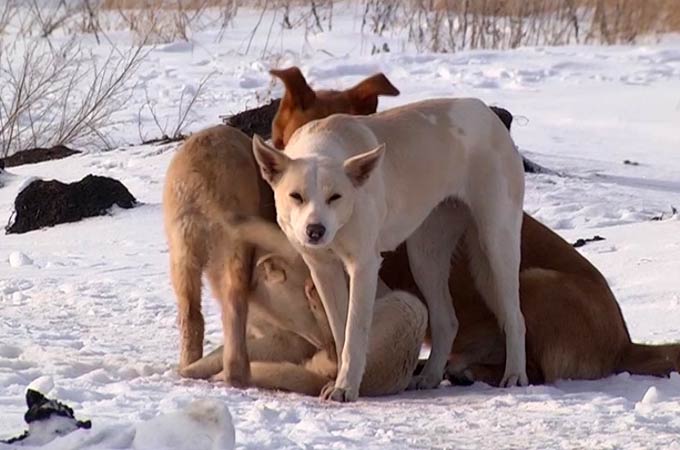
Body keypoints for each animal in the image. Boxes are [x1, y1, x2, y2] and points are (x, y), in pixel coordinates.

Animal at [252, 98, 528, 400]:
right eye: (296, 196)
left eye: (335, 197)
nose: (315, 231)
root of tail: (487, 112)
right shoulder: (323, 269)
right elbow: (340, 332)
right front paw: (340, 380)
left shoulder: (364, 266)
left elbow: (355, 334)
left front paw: (347, 387)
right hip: (425, 256)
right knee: (447, 321)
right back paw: (430, 376)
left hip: (497, 243)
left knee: (515, 318)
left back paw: (515, 375)